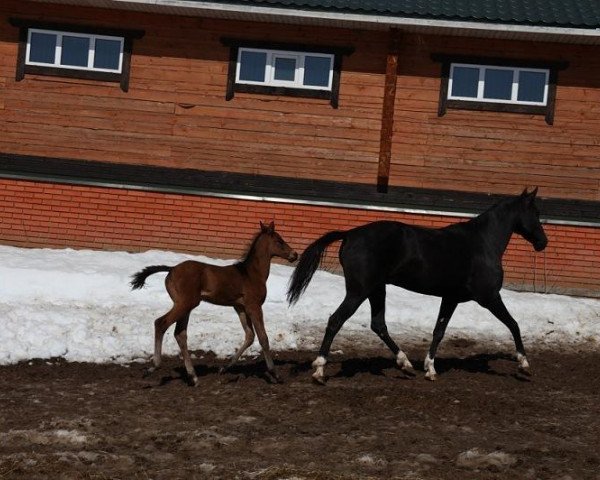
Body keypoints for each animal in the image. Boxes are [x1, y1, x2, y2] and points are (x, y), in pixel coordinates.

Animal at [132, 222, 298, 386]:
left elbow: (250, 336)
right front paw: (275, 374)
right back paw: (154, 367)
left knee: (180, 333)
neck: (251, 273)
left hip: (186, 306)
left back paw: (193, 376)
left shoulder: (240, 307)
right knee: (161, 323)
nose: (294, 254)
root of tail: (171, 269)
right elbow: (263, 338)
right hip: (185, 304)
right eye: (279, 240)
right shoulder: (254, 306)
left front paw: (224, 368)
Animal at [288, 188, 548, 382]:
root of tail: (350, 234)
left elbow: (439, 331)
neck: (482, 244)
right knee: (336, 320)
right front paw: (524, 364)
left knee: (378, 325)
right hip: (358, 291)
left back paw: (405, 363)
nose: (543, 243)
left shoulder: (451, 298)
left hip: (376, 289)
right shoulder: (489, 297)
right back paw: (319, 370)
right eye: (534, 211)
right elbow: (514, 324)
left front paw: (430, 368)